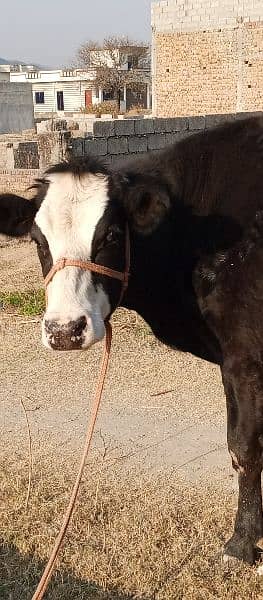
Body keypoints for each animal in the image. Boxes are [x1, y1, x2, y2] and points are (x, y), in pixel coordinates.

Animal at [0, 116, 263, 568]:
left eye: (108, 236)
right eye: (37, 240)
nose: (64, 330)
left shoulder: (244, 355)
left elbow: (244, 445)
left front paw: (241, 545)